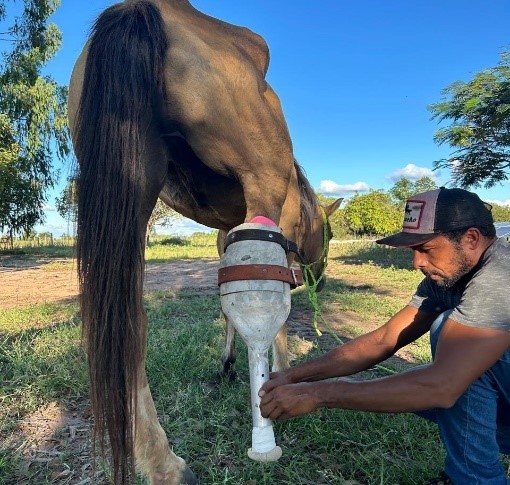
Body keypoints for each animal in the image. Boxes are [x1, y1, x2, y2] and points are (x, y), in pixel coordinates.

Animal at [67, 0, 338, 484]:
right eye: (330, 234)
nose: (321, 280)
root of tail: (142, 11)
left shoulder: (226, 234)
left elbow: (225, 300)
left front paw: (227, 362)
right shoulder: (272, 224)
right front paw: (281, 376)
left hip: (133, 185)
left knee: (130, 323)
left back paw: (163, 463)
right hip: (260, 182)